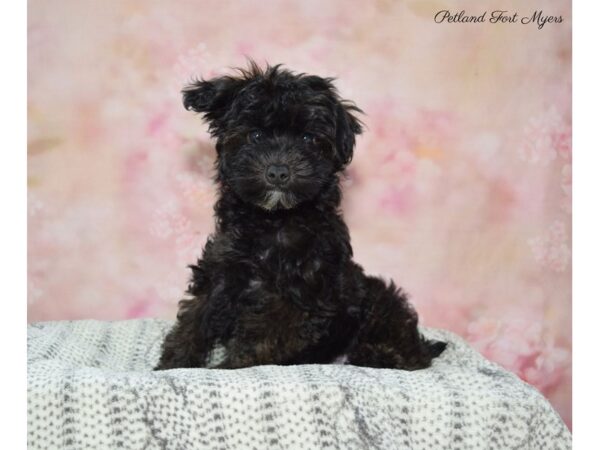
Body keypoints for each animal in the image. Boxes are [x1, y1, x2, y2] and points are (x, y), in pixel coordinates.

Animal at [155, 64, 446, 372]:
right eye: (255, 136)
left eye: (308, 138)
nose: (278, 171)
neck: (274, 221)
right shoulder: (220, 272)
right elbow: (193, 322)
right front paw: (173, 365)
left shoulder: (297, 298)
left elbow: (259, 341)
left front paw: (229, 368)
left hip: (377, 299)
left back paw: (380, 355)